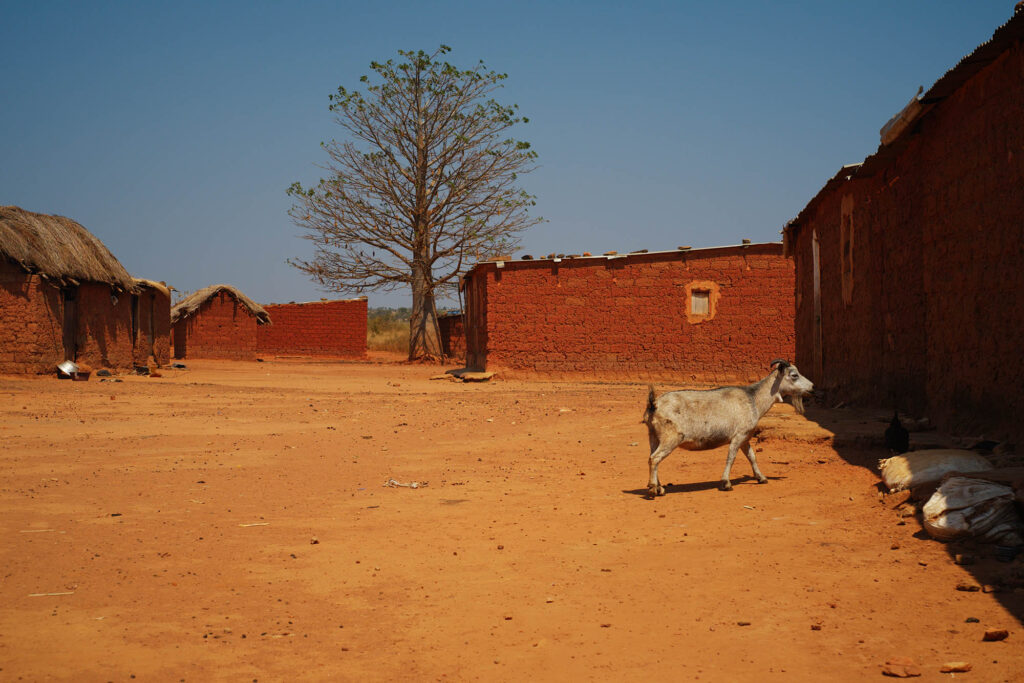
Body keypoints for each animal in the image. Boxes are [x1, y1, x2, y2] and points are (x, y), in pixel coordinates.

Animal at [642, 359, 814, 497]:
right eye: (794, 375)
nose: (812, 387)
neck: (753, 399)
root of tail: (654, 404)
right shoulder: (738, 435)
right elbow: (731, 457)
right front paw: (726, 483)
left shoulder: (745, 437)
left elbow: (752, 457)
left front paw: (761, 478)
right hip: (671, 437)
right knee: (655, 458)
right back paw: (653, 489)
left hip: (653, 436)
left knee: (651, 458)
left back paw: (659, 487)